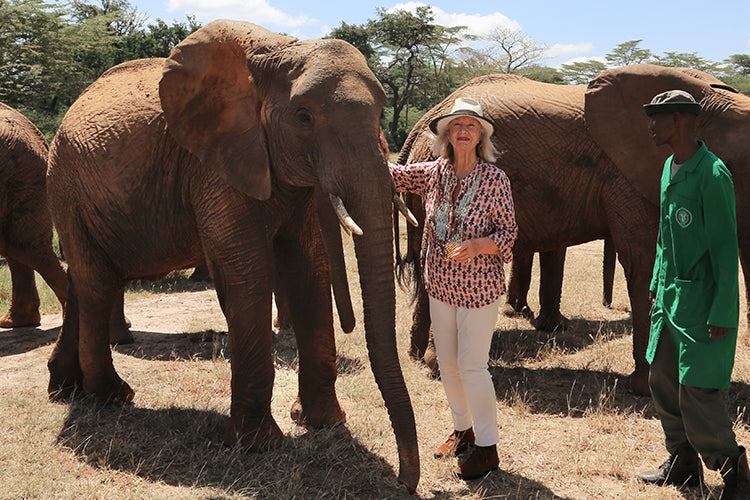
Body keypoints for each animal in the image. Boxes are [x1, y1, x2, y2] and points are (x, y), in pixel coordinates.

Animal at [45, 20, 419, 490]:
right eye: (304, 118)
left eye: (381, 112)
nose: (406, 481)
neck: (279, 49)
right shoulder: (215, 163)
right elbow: (248, 275)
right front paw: (258, 446)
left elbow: (308, 269)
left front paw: (324, 423)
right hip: (68, 186)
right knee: (97, 284)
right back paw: (113, 397)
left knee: (83, 280)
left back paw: (65, 389)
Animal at [398, 64, 750, 397]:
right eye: (731, 168)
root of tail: (421, 125)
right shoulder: (625, 176)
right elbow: (645, 262)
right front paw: (650, 391)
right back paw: (438, 364)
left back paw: (418, 358)